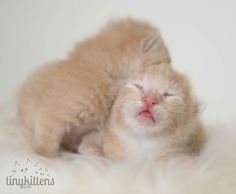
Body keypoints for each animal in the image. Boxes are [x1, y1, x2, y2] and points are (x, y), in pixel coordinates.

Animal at [17, 18, 171, 158]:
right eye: (164, 62)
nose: (170, 69)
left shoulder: (96, 128)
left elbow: (94, 140)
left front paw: (90, 150)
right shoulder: (54, 114)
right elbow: (48, 138)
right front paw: (45, 156)